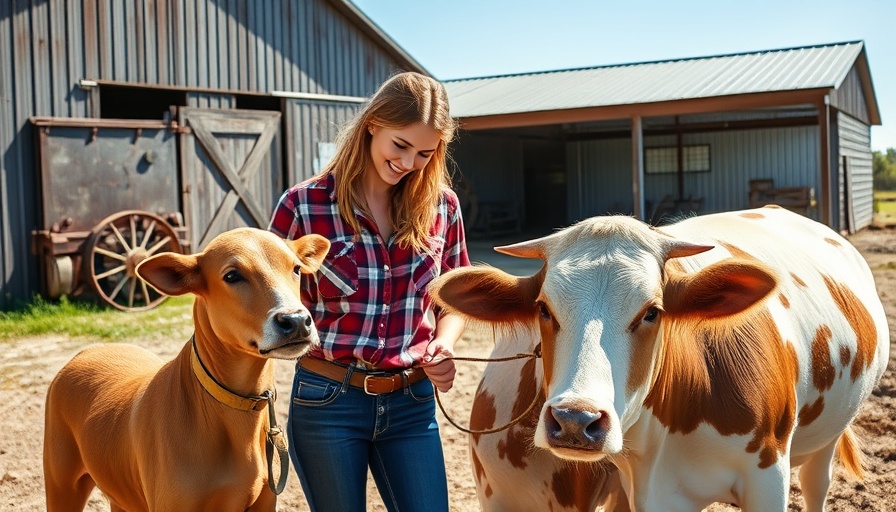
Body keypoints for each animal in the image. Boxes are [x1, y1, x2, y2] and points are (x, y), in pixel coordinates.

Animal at [434, 208, 888, 512]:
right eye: (544, 309)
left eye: (652, 312)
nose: (575, 420)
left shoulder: (767, 478)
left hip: (826, 440)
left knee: (816, 484)